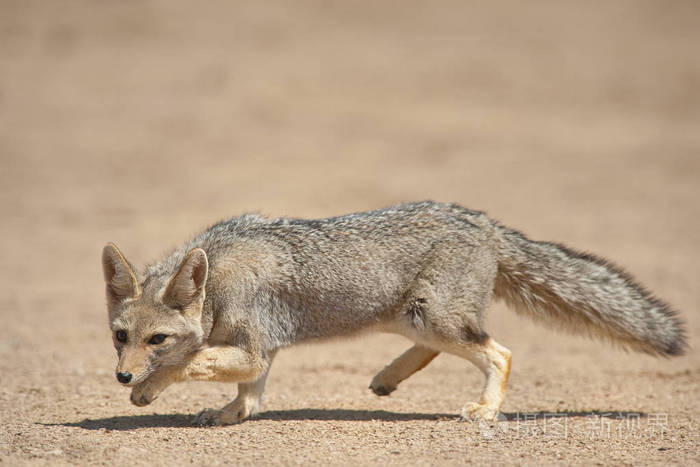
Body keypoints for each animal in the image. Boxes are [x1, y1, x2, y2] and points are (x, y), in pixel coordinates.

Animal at [101, 202, 688, 428]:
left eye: (156, 340)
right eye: (120, 336)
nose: (122, 375)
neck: (219, 273)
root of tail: (481, 221)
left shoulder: (252, 346)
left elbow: (192, 362)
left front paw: (149, 390)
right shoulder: (259, 352)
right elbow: (249, 398)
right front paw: (229, 414)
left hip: (436, 319)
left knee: (499, 352)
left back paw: (485, 410)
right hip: (411, 319)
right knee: (440, 349)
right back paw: (387, 377)